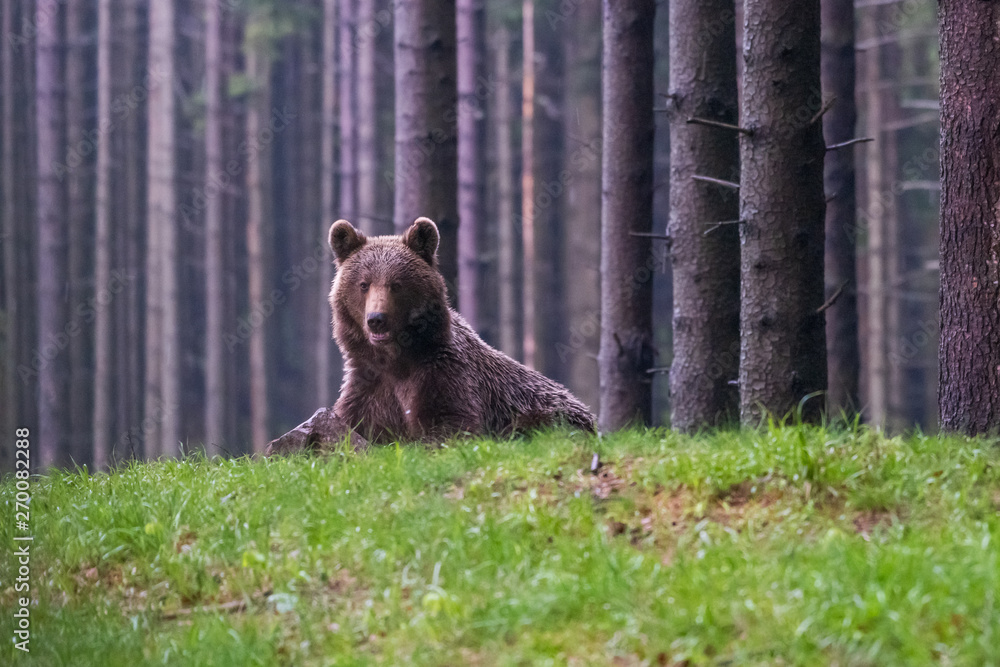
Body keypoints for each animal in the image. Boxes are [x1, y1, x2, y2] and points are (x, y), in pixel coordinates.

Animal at [264, 216, 595, 455]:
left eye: (396, 284)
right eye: (363, 284)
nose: (376, 320)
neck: (398, 360)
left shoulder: (444, 375)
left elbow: (449, 426)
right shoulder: (369, 386)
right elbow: (355, 422)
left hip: (552, 412)